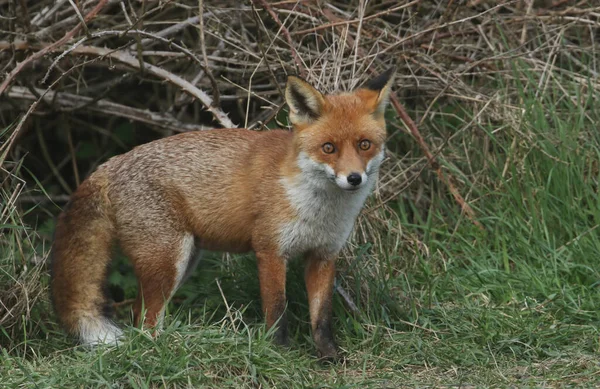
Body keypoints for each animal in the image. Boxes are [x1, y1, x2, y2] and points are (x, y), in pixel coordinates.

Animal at [51, 67, 396, 358]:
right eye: (329, 148)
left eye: (364, 144)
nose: (354, 178)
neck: (318, 209)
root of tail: (110, 165)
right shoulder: (270, 251)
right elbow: (277, 312)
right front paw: (280, 355)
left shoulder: (323, 255)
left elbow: (322, 318)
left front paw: (330, 358)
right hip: (166, 262)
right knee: (144, 320)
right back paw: (161, 352)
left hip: (184, 262)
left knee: (141, 316)